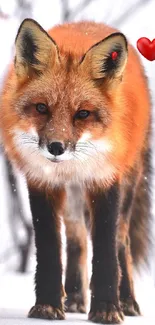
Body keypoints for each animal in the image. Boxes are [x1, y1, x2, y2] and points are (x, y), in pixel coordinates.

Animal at [0, 19, 151, 322]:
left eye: (82, 114)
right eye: (41, 108)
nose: (56, 147)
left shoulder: (105, 180)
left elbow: (106, 250)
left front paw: (106, 308)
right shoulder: (42, 182)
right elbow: (49, 248)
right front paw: (47, 306)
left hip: (128, 184)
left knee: (122, 241)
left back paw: (127, 300)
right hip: (71, 199)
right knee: (76, 240)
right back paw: (75, 297)